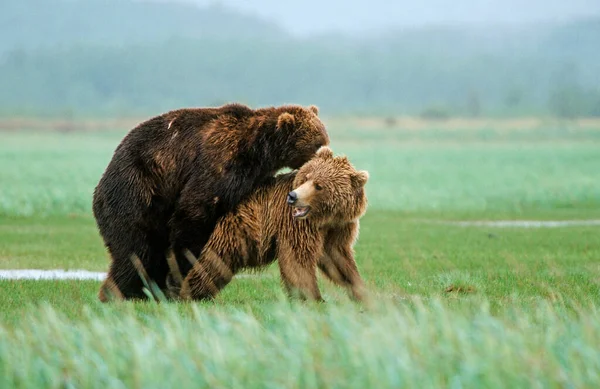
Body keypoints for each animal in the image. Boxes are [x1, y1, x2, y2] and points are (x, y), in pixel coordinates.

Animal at [91, 102, 330, 300]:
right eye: (317, 143)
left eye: (324, 138)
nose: (328, 154)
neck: (259, 151)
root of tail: (99, 187)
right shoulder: (220, 161)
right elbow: (194, 211)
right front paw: (180, 271)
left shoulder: (253, 175)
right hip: (137, 191)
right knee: (137, 249)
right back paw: (120, 292)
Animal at [166, 147, 368, 302]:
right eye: (306, 177)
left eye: (319, 185)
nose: (293, 196)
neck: (324, 218)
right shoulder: (295, 223)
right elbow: (297, 258)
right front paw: (312, 298)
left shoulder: (339, 227)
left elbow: (337, 258)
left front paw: (361, 293)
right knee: (210, 261)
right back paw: (186, 294)